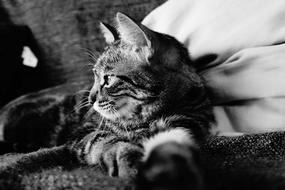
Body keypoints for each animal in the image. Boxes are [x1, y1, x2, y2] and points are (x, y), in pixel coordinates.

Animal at [0, 13, 213, 190]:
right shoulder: (84, 131)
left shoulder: (186, 122)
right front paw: (125, 157)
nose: (90, 98)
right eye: (94, 75)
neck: (146, 115)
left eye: (108, 79)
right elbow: (105, 140)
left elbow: (173, 144)